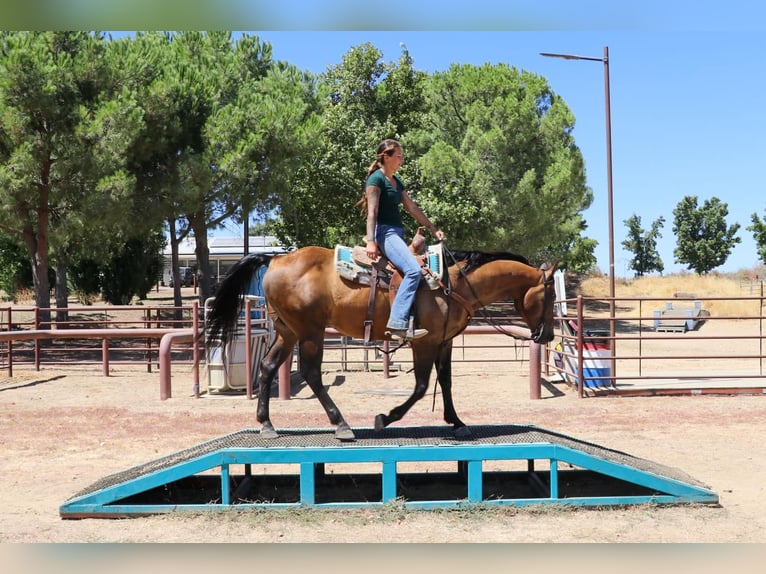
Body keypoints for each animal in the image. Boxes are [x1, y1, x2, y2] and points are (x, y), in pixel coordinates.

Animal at [206, 245, 560, 444]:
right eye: (550, 295)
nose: (548, 337)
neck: (454, 284)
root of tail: (277, 259)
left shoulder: (444, 341)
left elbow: (445, 382)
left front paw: (457, 423)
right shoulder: (424, 342)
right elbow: (421, 386)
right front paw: (386, 418)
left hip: (288, 331)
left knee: (267, 367)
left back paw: (267, 424)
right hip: (310, 332)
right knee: (311, 373)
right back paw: (342, 425)